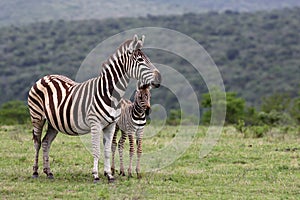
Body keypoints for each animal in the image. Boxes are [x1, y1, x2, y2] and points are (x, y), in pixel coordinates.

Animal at [27, 34, 162, 183]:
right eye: (140, 60)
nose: (159, 78)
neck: (110, 94)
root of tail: (45, 77)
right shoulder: (95, 124)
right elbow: (97, 150)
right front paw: (96, 175)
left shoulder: (111, 125)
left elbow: (108, 150)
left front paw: (109, 175)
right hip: (37, 117)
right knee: (37, 142)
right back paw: (35, 172)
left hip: (53, 123)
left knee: (46, 143)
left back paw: (48, 172)